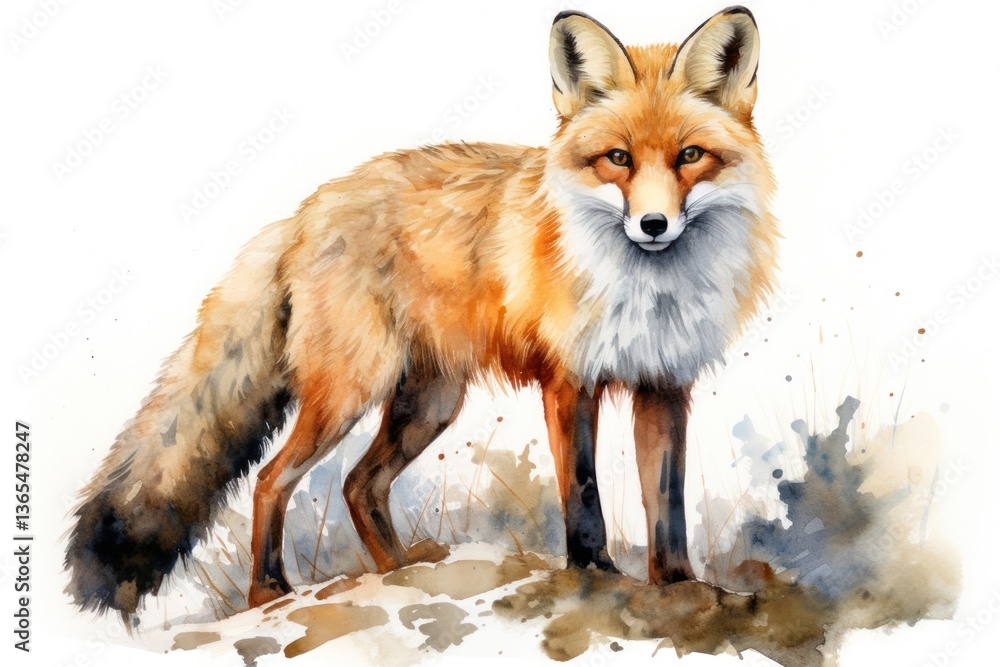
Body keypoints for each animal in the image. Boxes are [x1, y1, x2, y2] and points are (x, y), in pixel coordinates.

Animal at [66, 6, 777, 615]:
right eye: (619, 159)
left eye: (690, 156)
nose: (654, 225)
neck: (649, 292)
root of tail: (305, 211)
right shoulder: (568, 380)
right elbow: (582, 492)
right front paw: (594, 574)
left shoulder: (663, 384)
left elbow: (668, 501)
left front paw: (679, 586)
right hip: (352, 390)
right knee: (272, 478)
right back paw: (270, 592)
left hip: (429, 403)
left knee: (359, 484)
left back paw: (399, 570)